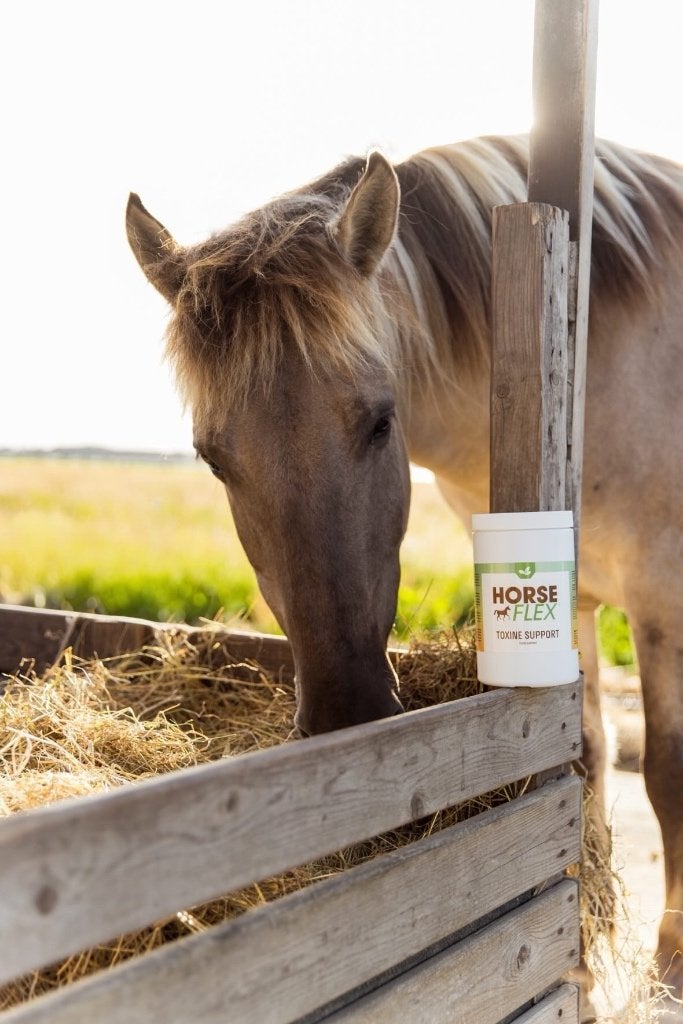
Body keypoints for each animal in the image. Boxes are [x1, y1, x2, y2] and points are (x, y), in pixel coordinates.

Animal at [126, 133, 683, 1016]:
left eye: (381, 421)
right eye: (212, 459)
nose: (347, 714)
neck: (590, 345)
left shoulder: (659, 593)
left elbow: (663, 772)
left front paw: (666, 975)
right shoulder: (578, 599)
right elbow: (586, 751)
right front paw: (585, 968)